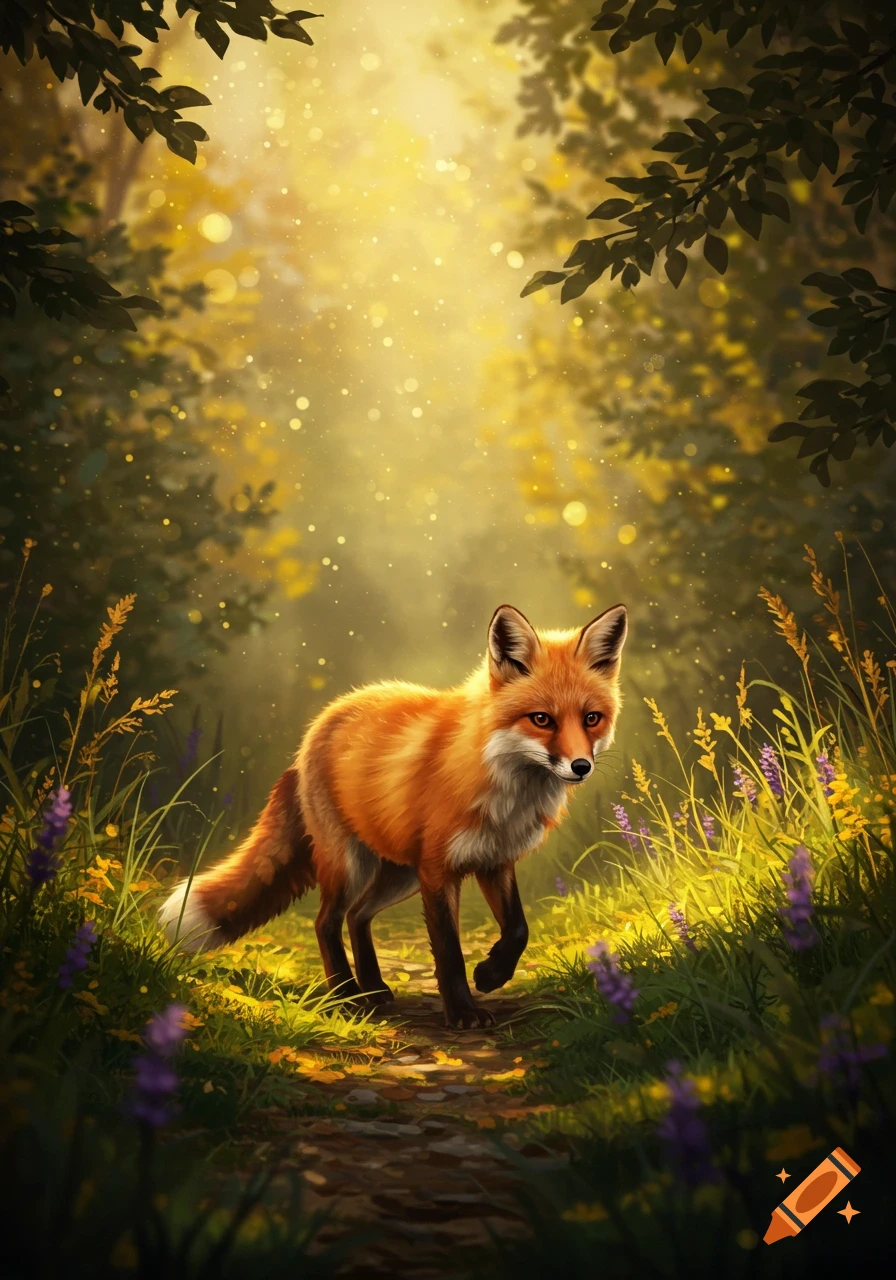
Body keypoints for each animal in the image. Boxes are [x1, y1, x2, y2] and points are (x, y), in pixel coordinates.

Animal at [158, 602, 628, 1028]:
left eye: (591, 718)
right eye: (542, 719)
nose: (581, 767)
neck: (503, 788)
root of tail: (316, 728)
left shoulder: (495, 861)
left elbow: (518, 929)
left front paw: (492, 974)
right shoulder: (438, 870)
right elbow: (449, 951)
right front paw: (463, 1011)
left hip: (399, 874)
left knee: (357, 916)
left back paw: (372, 988)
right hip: (352, 865)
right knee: (326, 922)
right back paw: (345, 996)